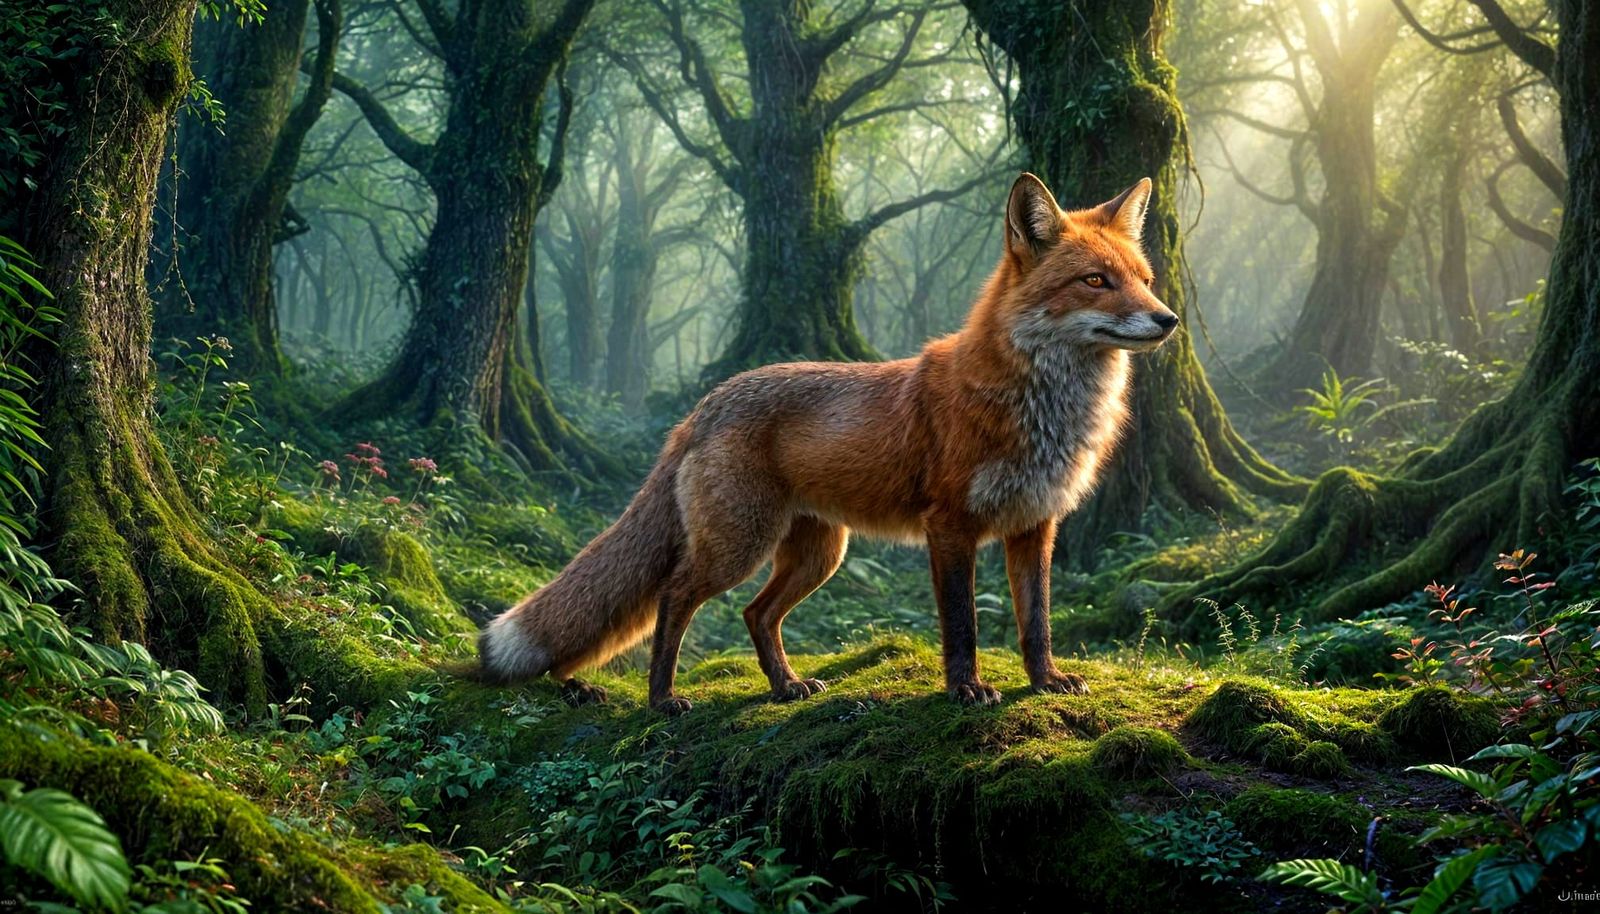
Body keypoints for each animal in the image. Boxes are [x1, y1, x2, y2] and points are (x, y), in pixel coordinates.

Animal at [478, 172, 1178, 713]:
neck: (1041, 406)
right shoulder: (950, 526)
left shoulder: (1035, 524)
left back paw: (785, 686)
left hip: (819, 554)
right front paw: (966, 690)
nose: (1168, 319)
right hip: (739, 546)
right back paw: (662, 698)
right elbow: (963, 626)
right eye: (1095, 281)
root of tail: (704, 405)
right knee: (675, 597)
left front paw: (1046, 682)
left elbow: (1037, 624)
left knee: (755, 615)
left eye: (1143, 279)